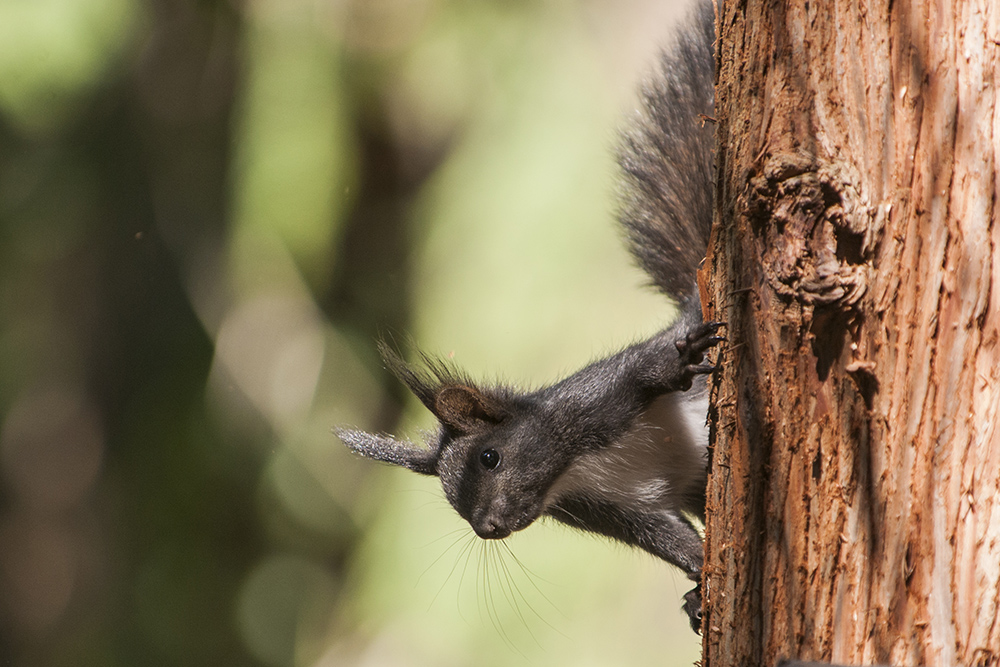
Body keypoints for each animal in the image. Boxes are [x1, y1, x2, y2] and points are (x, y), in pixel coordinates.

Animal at [336, 0, 720, 636]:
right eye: (450, 503)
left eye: (490, 457)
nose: (487, 527)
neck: (575, 466)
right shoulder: (616, 508)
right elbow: (673, 541)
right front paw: (698, 586)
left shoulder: (593, 403)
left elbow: (639, 371)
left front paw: (673, 362)